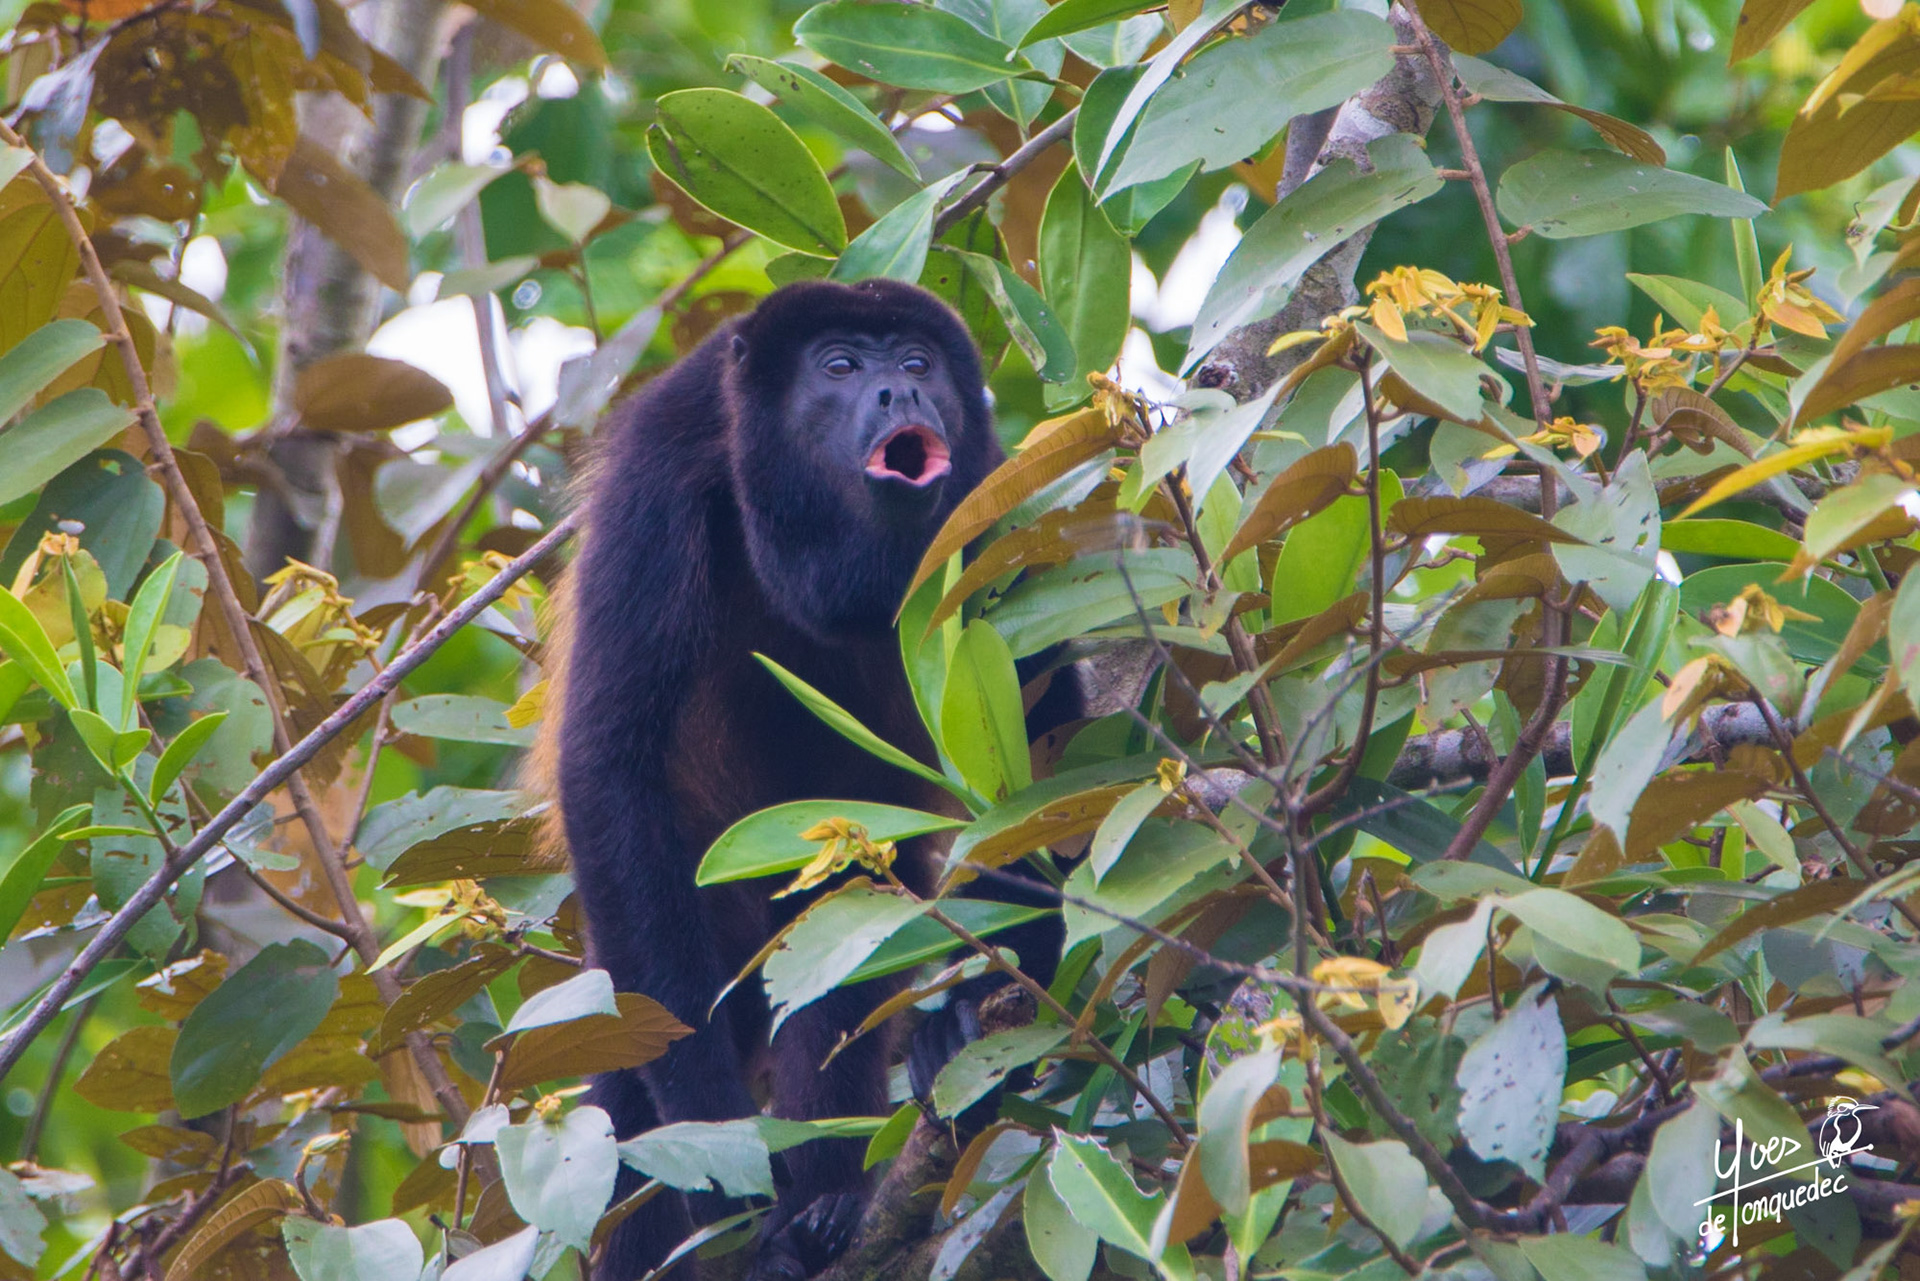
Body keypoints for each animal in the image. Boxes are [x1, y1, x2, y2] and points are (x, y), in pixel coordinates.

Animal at [531, 279, 1069, 1281]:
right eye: (841, 366)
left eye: (917, 361)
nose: (901, 392)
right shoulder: (657, 474)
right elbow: (610, 762)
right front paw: (714, 1140)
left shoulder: (995, 505)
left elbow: (1052, 744)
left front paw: (985, 1011)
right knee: (629, 1076)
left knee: (838, 938)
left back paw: (826, 1207)